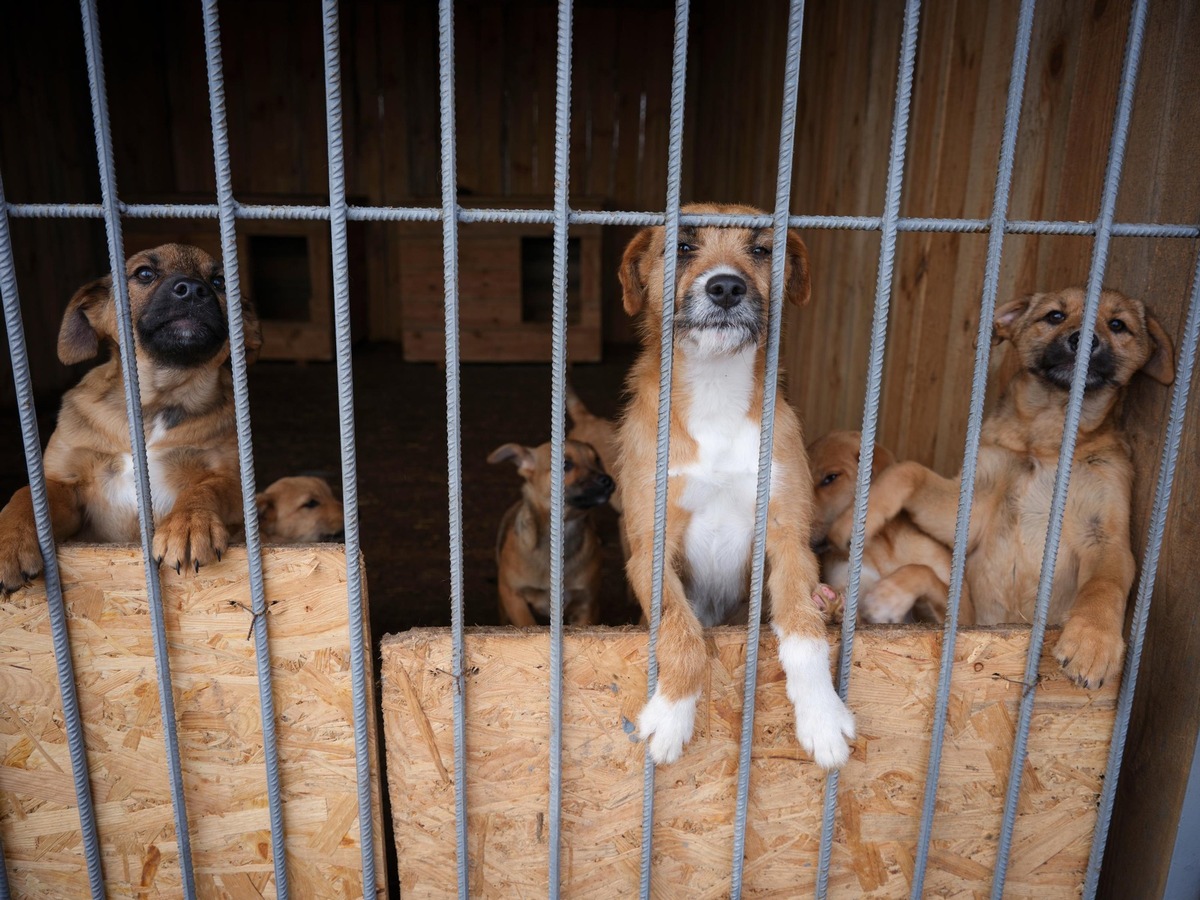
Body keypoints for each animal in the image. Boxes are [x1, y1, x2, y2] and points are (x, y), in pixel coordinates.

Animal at [0, 243, 260, 592]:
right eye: (144, 274)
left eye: (219, 282)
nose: (194, 290)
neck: (155, 403)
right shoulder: (64, 485)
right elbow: (24, 496)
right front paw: (9, 542)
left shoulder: (234, 480)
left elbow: (205, 487)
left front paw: (189, 523)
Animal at [489, 439, 614, 628]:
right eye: (566, 464)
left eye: (597, 460)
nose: (607, 480)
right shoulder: (513, 596)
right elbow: (527, 624)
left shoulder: (587, 604)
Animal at [619, 202, 854, 768]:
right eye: (682, 246)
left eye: (762, 249)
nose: (726, 287)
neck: (715, 390)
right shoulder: (650, 548)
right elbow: (680, 630)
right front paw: (671, 715)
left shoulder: (788, 539)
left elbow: (803, 631)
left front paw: (822, 715)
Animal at [830, 289, 1176, 691]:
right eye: (1054, 316)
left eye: (1118, 325)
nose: (1085, 339)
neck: (1048, 439)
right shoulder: (969, 507)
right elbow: (908, 470)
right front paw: (855, 522)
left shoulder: (1107, 537)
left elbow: (1104, 586)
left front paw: (1093, 642)